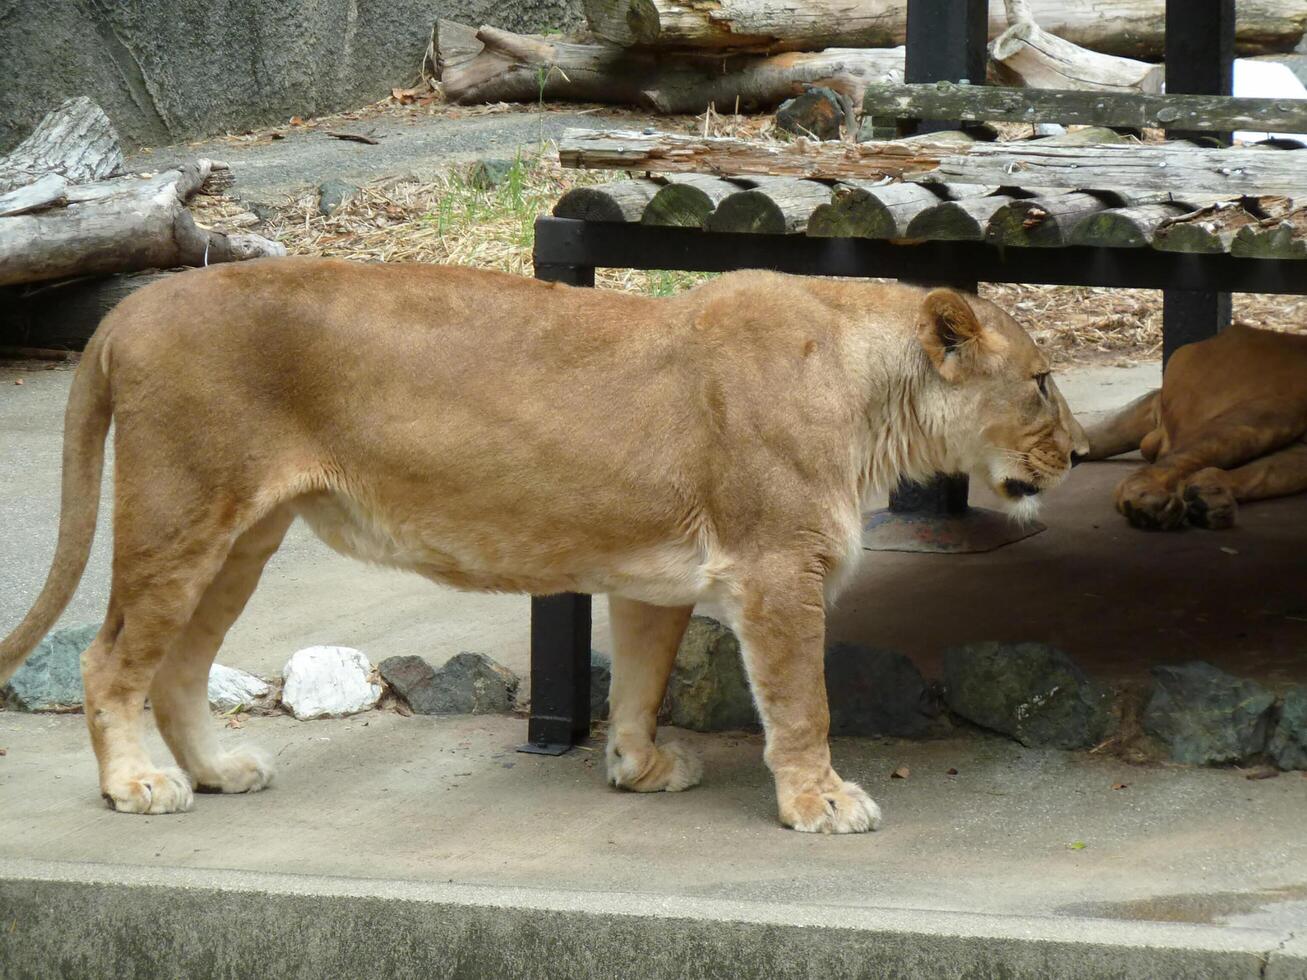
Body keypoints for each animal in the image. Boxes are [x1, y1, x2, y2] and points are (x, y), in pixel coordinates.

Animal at [0, 257, 1082, 831]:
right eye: (1038, 381)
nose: (1074, 451)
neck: (870, 395)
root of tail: (128, 309)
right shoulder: (778, 569)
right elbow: (802, 702)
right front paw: (818, 802)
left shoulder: (656, 574)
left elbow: (641, 678)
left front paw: (637, 770)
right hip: (180, 514)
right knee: (109, 660)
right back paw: (136, 786)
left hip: (243, 537)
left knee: (178, 665)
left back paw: (217, 770)